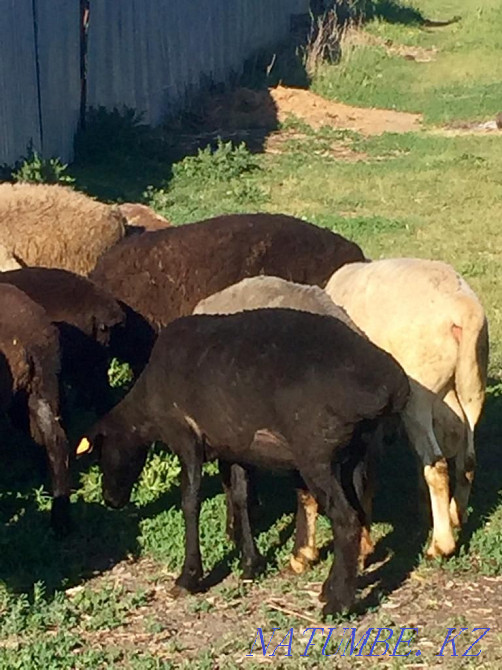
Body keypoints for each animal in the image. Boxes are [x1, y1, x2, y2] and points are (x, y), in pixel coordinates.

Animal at [76, 308, 409, 615]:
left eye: (102, 454)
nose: (111, 500)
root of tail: (390, 387)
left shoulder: (185, 436)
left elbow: (190, 502)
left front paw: (189, 577)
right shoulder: (234, 448)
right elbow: (240, 499)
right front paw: (251, 564)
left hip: (317, 454)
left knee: (346, 520)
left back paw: (337, 604)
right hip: (353, 452)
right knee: (358, 512)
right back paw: (334, 587)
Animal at [325, 258, 489, 558]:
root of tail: (463, 310)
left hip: (419, 392)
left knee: (436, 465)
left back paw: (441, 544)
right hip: (471, 383)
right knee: (467, 456)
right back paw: (455, 516)